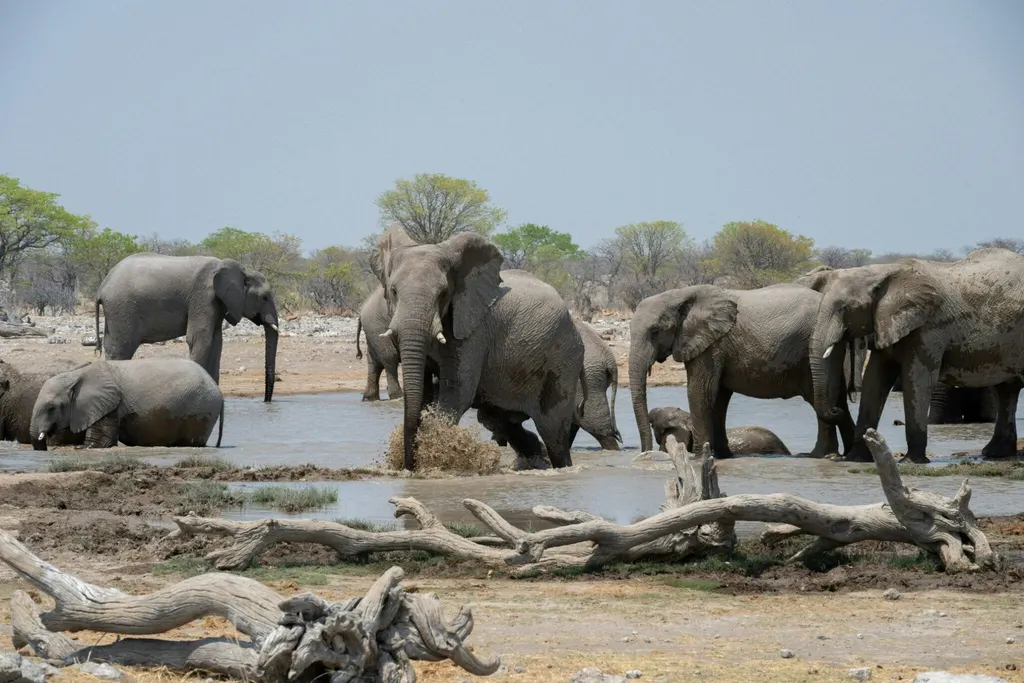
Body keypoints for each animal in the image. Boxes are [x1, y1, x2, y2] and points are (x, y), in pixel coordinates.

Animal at [30, 358, 225, 450]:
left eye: (51, 408)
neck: (76, 374)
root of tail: (219, 391)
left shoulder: (108, 404)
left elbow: (100, 444)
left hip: (202, 410)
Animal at [95, 253, 279, 402]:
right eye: (264, 298)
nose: (266, 401)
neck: (242, 270)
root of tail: (102, 287)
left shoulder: (216, 303)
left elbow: (216, 342)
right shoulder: (204, 297)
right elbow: (200, 339)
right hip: (121, 309)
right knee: (121, 349)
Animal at [371, 225, 585, 470]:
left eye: (443, 294)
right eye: (394, 291)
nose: (409, 466)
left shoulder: (473, 329)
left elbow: (457, 392)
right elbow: (424, 390)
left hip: (564, 357)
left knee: (553, 430)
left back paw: (560, 465)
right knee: (499, 420)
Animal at [810, 247, 1024, 463]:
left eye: (846, 309)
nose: (835, 409)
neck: (881, 273)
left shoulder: (928, 328)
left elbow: (917, 379)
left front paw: (912, 462)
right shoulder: (885, 323)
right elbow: (874, 379)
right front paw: (857, 459)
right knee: (1007, 389)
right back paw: (996, 454)